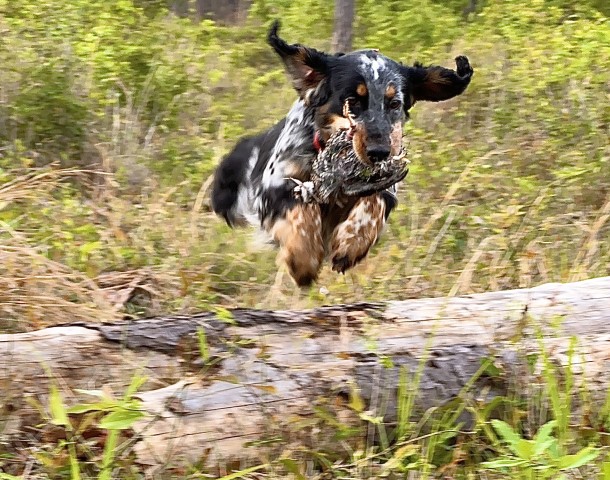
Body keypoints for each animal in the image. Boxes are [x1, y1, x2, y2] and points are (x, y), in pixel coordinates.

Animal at [211, 19, 472, 284]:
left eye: (395, 103)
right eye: (352, 101)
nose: (379, 152)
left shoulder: (386, 186)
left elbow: (373, 203)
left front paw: (352, 245)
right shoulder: (273, 186)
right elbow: (301, 209)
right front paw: (303, 259)